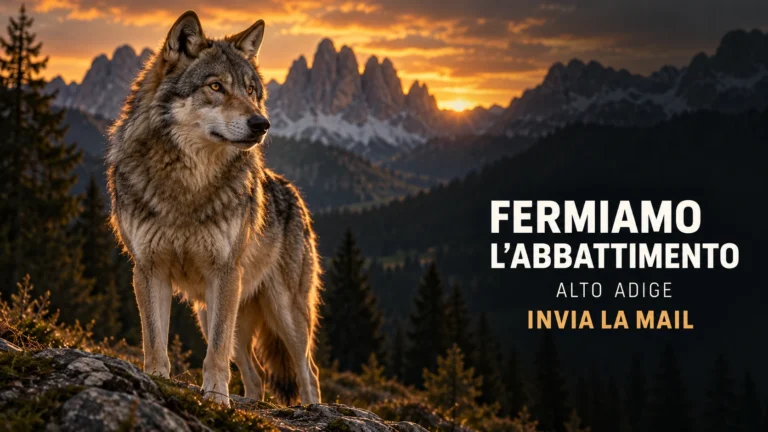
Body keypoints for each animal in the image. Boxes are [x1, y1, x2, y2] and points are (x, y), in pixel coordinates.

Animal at [106, 11, 321, 406]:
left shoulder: (224, 273)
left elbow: (216, 354)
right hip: (211, 313)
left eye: (251, 91)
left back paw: (314, 409)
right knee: (257, 375)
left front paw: (217, 399)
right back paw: (250, 404)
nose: (261, 124)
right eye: (216, 86)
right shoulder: (148, 270)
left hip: (283, 311)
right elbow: (154, 342)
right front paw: (157, 382)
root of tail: (293, 193)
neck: (187, 184)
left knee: (307, 371)